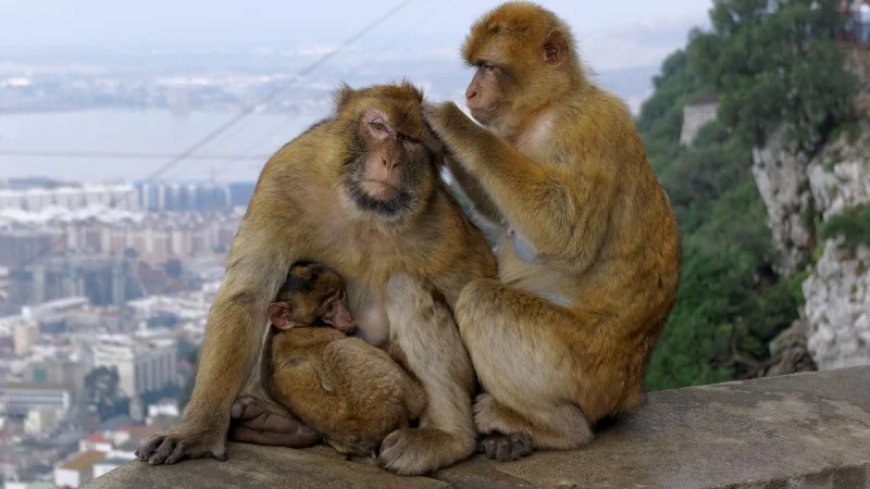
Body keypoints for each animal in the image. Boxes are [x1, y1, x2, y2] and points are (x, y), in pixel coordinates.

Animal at [422, 2, 681, 461]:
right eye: (476, 68)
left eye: (488, 67)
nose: (470, 94)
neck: (547, 109)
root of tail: (630, 389)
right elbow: (503, 216)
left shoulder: (587, 127)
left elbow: (564, 232)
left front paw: (454, 125)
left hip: (580, 367)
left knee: (485, 301)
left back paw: (553, 428)